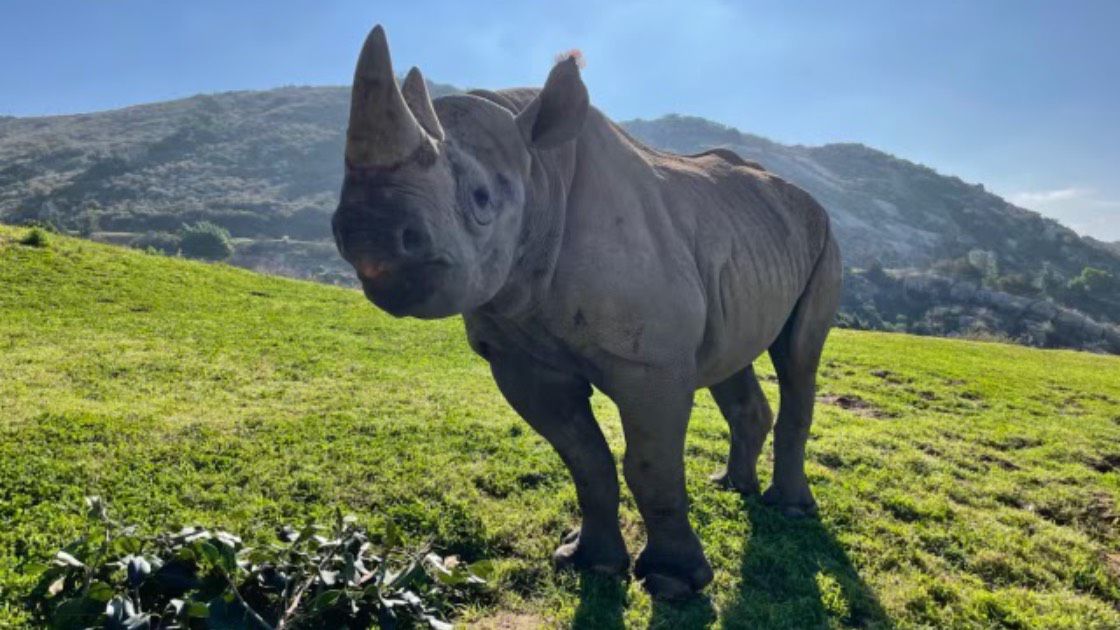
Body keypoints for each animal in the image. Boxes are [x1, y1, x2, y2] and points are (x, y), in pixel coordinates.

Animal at [331, 23, 842, 591]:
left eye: (482, 199)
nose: (368, 234)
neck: (541, 174)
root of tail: (805, 197)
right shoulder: (517, 354)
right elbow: (585, 459)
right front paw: (588, 562)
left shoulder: (651, 362)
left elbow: (650, 465)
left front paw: (673, 583)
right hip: (741, 240)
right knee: (733, 354)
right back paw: (731, 486)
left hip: (824, 236)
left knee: (798, 357)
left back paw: (790, 508)